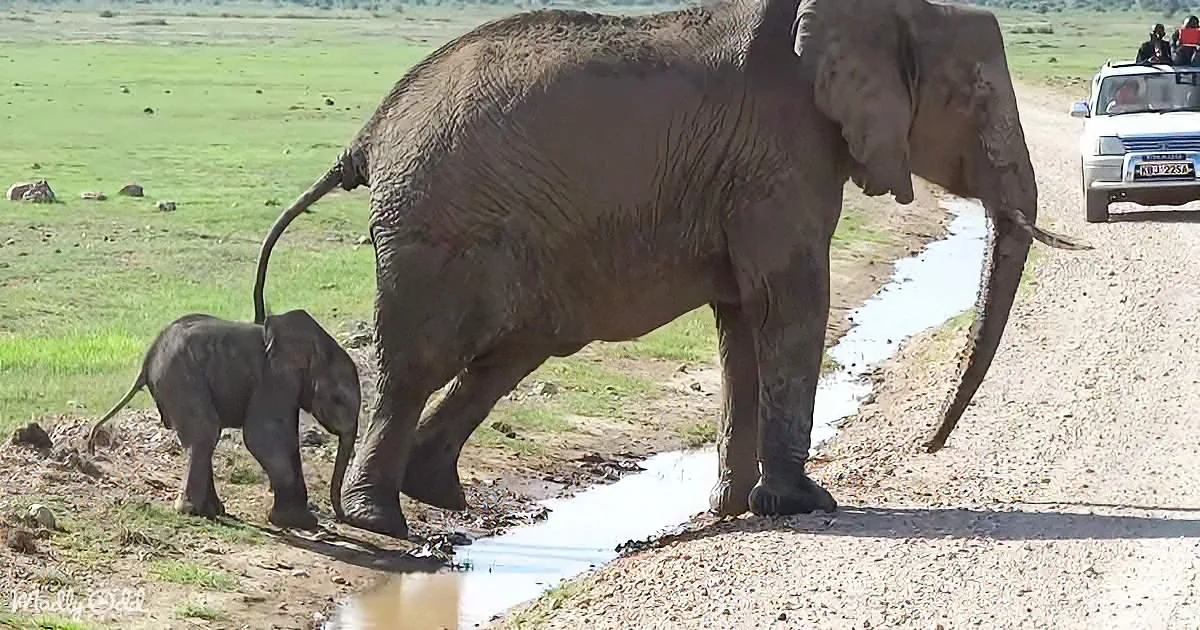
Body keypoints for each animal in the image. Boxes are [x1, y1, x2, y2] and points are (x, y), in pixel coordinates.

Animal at [85, 310, 361, 530]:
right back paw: (193, 511)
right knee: (205, 433)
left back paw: (213, 511)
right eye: (338, 399)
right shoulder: (273, 378)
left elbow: (287, 440)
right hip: (180, 377)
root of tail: (147, 360)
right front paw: (298, 522)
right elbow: (263, 438)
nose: (341, 518)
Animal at [250, 0, 1088, 539]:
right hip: (437, 225)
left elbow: (744, 320)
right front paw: (805, 505)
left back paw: (433, 496)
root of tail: (369, 135)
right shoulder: (782, 157)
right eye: (978, 95)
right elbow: (790, 302)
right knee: (421, 362)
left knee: (513, 352)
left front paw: (733, 511)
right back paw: (382, 521)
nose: (931, 447)